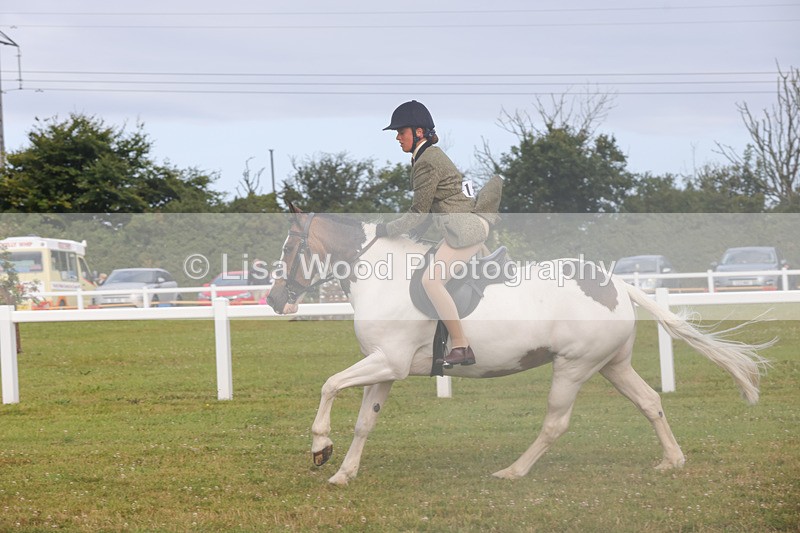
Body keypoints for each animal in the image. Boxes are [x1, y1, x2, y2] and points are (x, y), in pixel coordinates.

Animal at [266, 206, 772, 486]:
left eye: (289, 246)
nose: (273, 300)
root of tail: (616, 284)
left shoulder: (385, 361)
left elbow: (330, 384)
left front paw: (320, 446)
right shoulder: (386, 367)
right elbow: (364, 424)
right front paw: (342, 472)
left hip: (573, 367)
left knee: (555, 423)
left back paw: (513, 472)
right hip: (613, 365)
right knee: (650, 402)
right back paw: (672, 461)